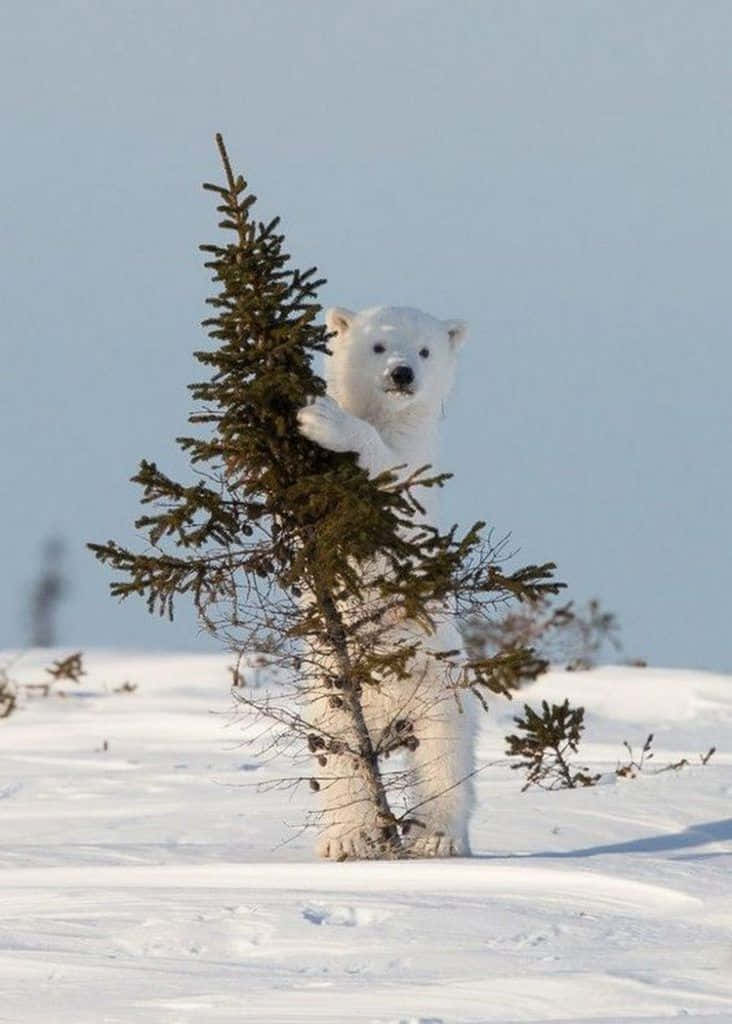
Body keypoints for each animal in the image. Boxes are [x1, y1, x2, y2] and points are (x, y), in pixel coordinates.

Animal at [297, 305, 476, 859]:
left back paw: (436, 837)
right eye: (377, 346)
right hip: (329, 696)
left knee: (443, 763)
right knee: (339, 760)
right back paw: (346, 837)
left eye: (424, 350)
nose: (402, 374)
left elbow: (397, 491)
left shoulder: (421, 478)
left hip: (441, 690)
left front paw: (323, 419)